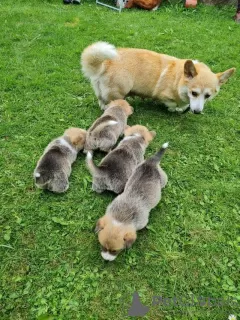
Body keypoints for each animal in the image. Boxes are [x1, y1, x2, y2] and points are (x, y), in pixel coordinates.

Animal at [81, 41, 235, 114]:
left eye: (208, 96)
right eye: (194, 93)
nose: (197, 112)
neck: (179, 79)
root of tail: (106, 63)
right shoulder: (163, 96)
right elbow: (172, 104)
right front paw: (174, 109)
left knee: (101, 101)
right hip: (120, 91)